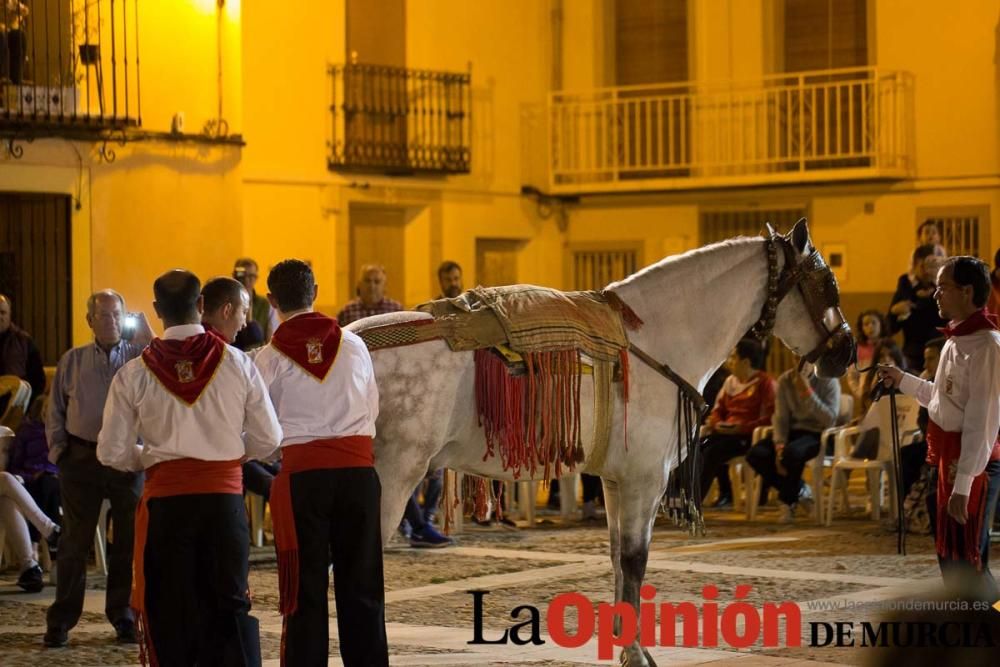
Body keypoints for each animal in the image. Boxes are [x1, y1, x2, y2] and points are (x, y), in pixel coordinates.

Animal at [346, 220, 852, 667]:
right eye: (825, 283)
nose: (845, 352)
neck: (654, 337)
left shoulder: (615, 479)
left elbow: (617, 559)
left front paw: (624, 644)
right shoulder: (645, 480)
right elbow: (634, 560)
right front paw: (635, 652)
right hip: (394, 478)